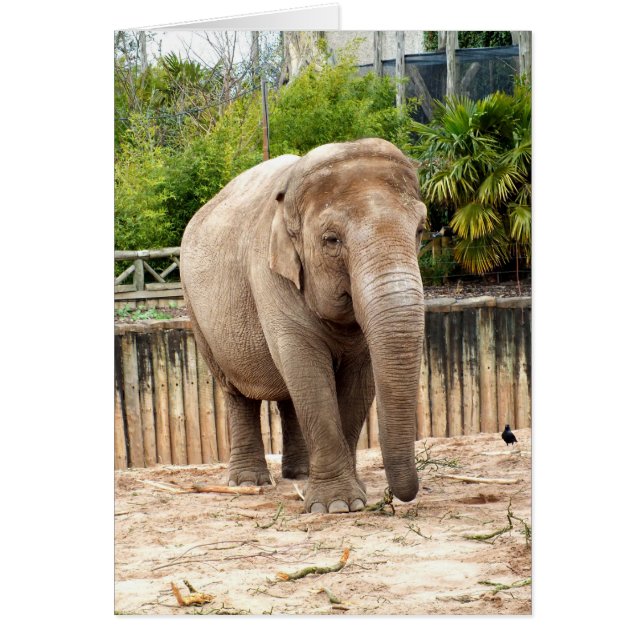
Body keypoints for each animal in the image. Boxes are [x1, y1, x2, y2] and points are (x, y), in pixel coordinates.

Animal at [180, 138, 427, 513]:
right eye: (331, 240)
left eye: (421, 230)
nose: (394, 495)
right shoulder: (268, 274)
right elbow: (306, 366)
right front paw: (337, 506)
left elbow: (359, 377)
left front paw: (352, 497)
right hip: (196, 311)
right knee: (236, 391)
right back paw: (248, 482)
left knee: (288, 393)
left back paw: (299, 475)